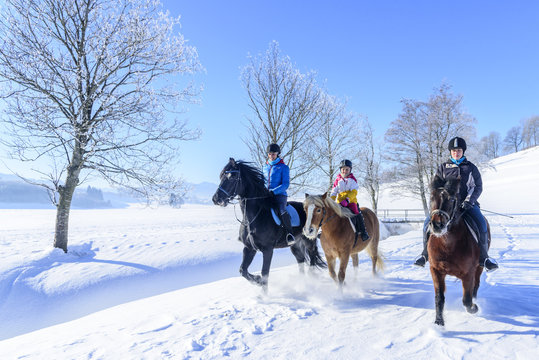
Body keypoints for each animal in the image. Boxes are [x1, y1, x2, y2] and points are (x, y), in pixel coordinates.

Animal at [213, 158, 326, 286]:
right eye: (221, 176)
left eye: (232, 177)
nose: (216, 199)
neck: (253, 218)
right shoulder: (249, 248)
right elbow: (243, 270)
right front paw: (257, 280)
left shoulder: (268, 250)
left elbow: (265, 273)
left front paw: (261, 285)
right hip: (295, 244)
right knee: (301, 260)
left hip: (308, 241)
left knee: (312, 259)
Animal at [428, 174, 492, 326]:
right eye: (431, 197)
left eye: (451, 199)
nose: (437, 225)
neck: (448, 245)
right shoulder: (435, 270)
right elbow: (439, 298)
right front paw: (439, 321)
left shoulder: (468, 273)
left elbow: (467, 300)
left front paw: (474, 308)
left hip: (479, 267)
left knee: (476, 286)